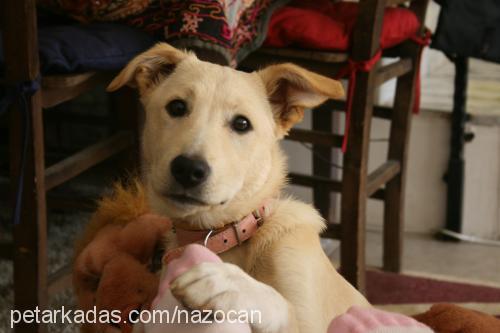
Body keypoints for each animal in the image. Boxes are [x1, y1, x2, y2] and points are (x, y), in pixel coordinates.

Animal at [107, 43, 370, 332]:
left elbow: (282, 305)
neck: (223, 235)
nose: (188, 169)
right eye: (176, 107)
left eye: (242, 124)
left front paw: (225, 283)